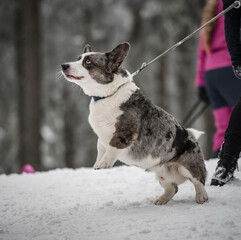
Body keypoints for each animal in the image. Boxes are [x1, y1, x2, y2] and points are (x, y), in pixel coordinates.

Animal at [61, 42, 208, 204]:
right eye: (78, 58)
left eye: (88, 62)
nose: (63, 65)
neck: (108, 95)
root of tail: (192, 136)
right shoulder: (102, 136)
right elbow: (101, 148)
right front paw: (97, 163)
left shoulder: (125, 132)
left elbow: (112, 147)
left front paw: (104, 164)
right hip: (161, 173)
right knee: (173, 188)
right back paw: (161, 200)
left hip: (189, 167)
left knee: (198, 180)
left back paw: (201, 196)